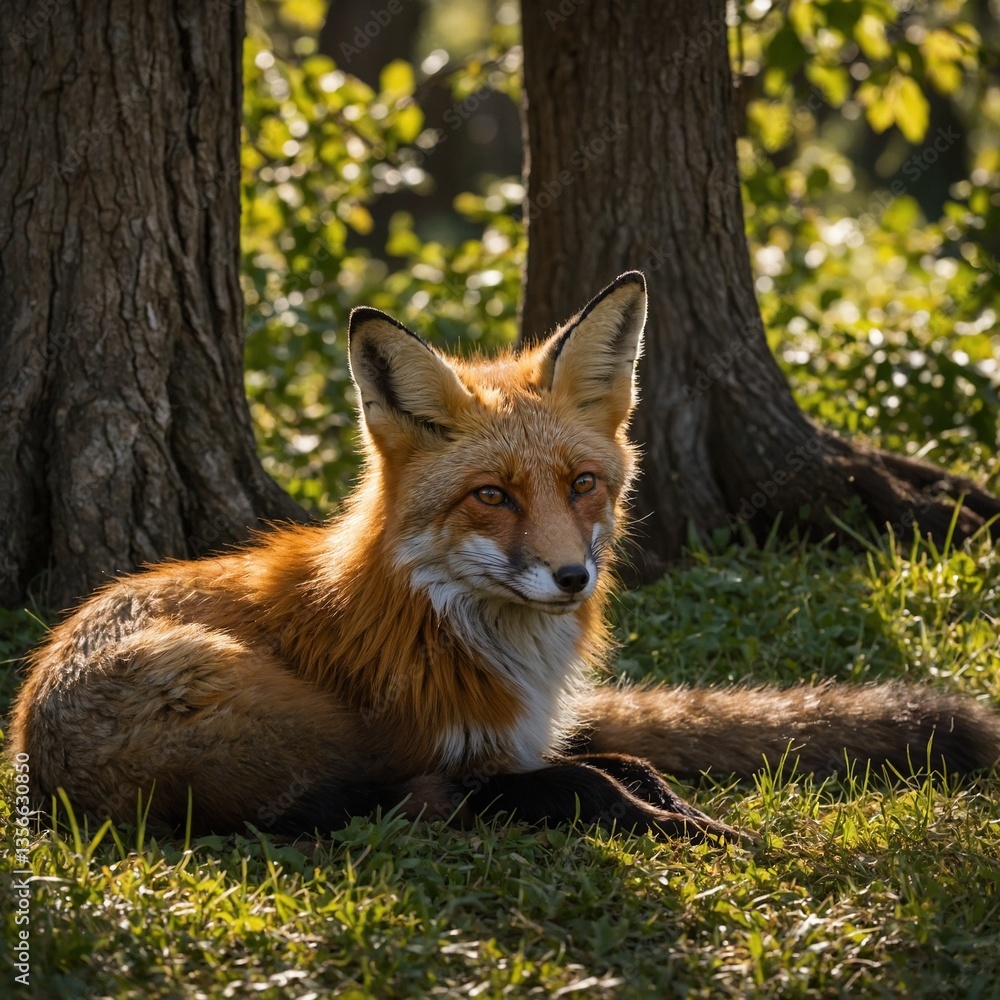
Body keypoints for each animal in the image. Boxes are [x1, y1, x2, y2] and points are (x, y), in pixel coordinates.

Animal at [7, 272, 1000, 842]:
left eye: (583, 485)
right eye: (493, 496)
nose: (572, 577)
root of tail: (31, 739)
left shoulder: (510, 742)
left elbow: (627, 764)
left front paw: (696, 815)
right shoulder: (424, 756)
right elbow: (584, 781)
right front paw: (705, 834)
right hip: (297, 747)